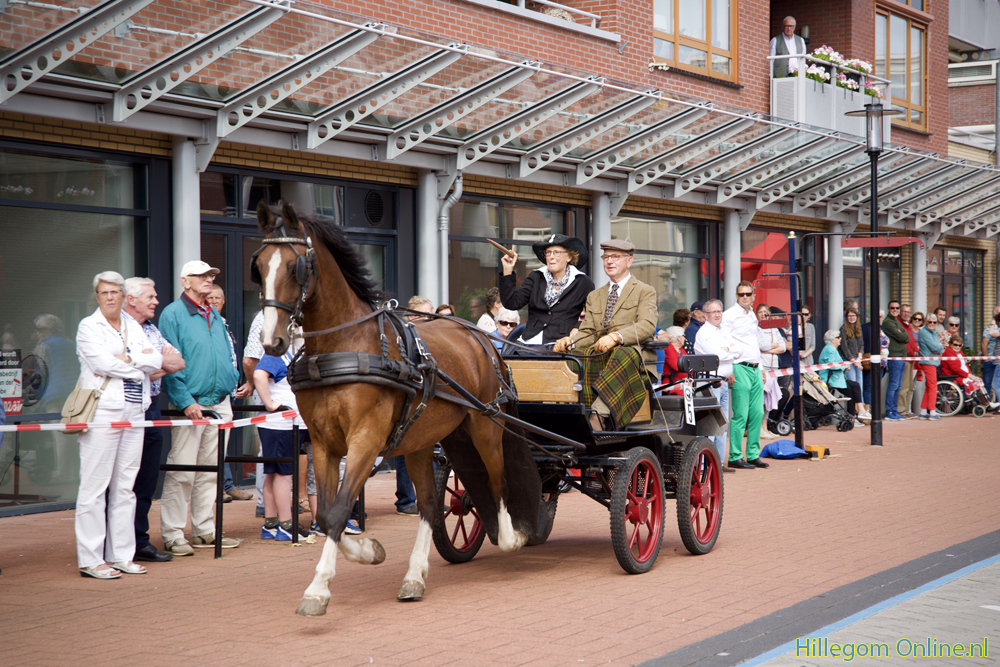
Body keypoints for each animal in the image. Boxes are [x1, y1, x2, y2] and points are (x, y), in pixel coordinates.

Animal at [252, 200, 544, 615]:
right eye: (259, 266)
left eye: (296, 267)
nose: (272, 341)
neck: (345, 344)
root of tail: (480, 338)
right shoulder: (323, 443)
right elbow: (326, 513)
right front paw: (369, 551)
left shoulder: (365, 440)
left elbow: (339, 510)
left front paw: (318, 590)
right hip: (421, 440)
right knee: (429, 503)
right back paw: (414, 576)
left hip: (484, 424)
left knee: (496, 479)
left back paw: (510, 537)